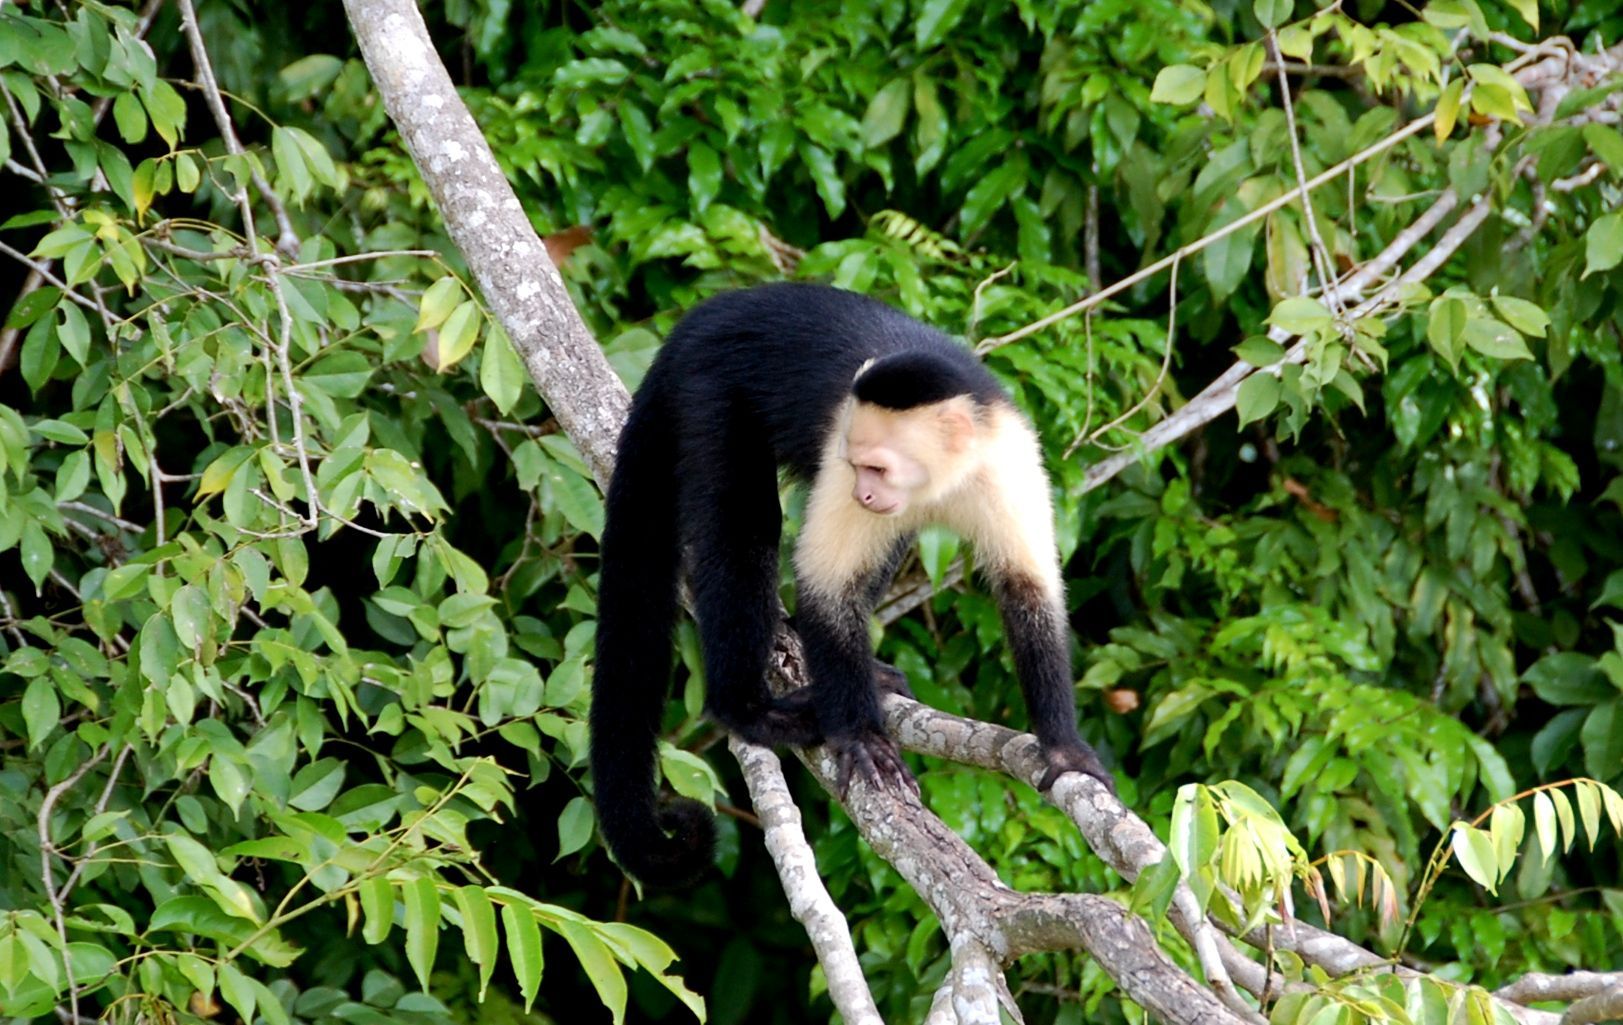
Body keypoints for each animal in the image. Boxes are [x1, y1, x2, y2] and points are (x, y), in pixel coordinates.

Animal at [594, 282, 1116, 888]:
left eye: (880, 470)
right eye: (860, 464)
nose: (864, 493)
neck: (945, 480)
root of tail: (710, 313)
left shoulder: (1009, 462)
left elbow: (1028, 590)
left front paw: (1063, 748)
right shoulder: (839, 453)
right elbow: (827, 585)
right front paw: (859, 736)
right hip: (710, 386)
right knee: (743, 526)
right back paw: (748, 710)